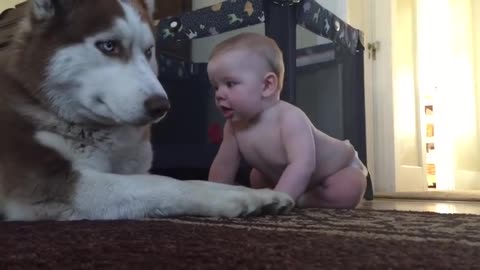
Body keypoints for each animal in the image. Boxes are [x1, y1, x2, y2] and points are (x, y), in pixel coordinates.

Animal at [0, 0, 294, 221]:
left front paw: (259, 193)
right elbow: (165, 184)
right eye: (109, 45)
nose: (161, 106)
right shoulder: (47, 185)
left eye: (149, 50)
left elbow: (171, 179)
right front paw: (237, 196)